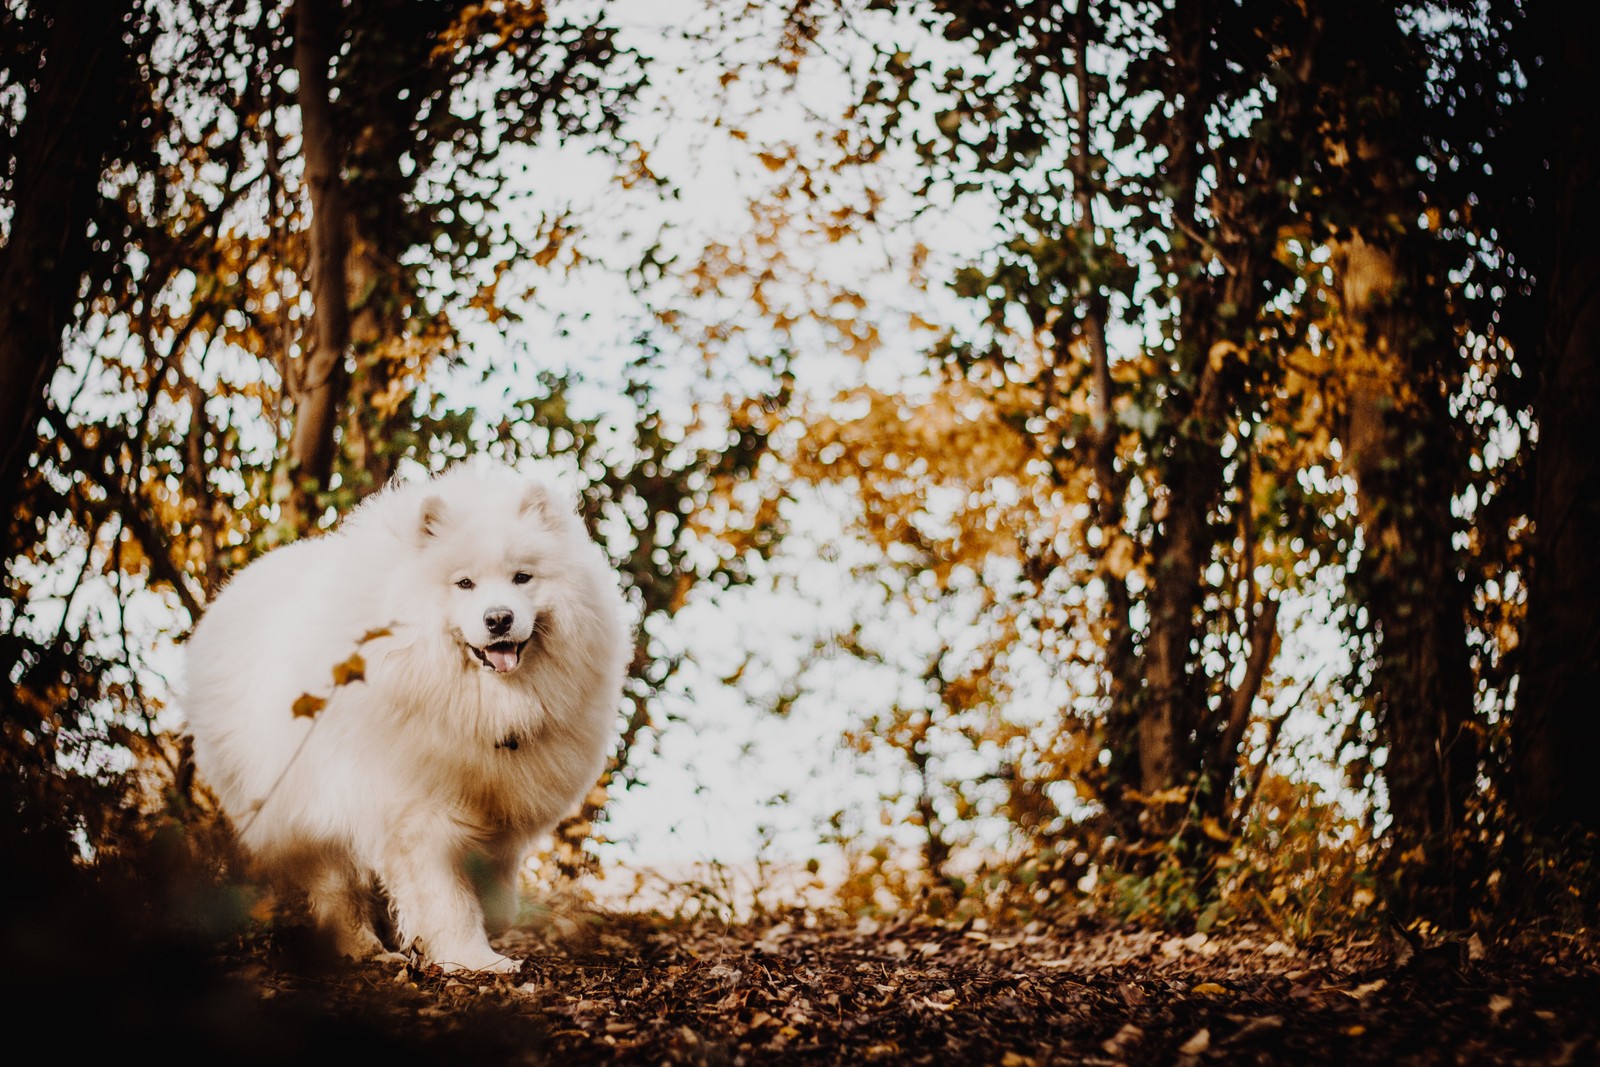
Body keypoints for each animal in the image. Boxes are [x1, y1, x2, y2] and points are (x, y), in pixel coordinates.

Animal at [183, 460, 630, 979]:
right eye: (464, 584)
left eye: (522, 577)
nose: (498, 619)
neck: (481, 701)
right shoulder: (418, 813)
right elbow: (447, 898)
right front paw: (474, 959)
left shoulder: (500, 807)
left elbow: (494, 881)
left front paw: (489, 924)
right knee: (338, 888)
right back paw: (363, 948)